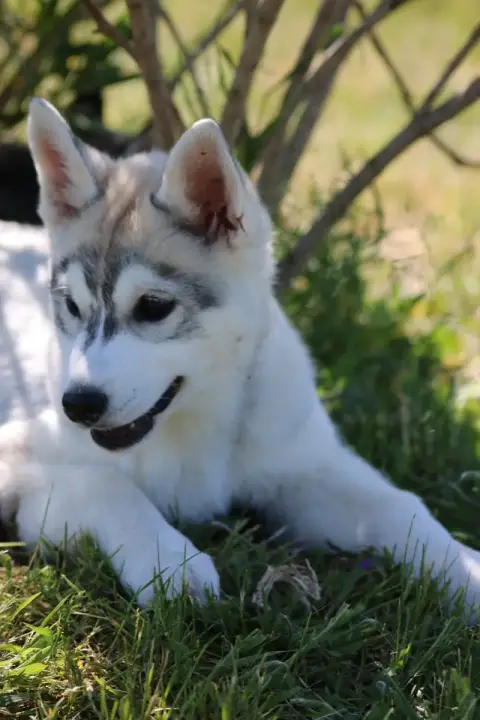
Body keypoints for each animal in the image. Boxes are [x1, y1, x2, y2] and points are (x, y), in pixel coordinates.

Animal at [0, 98, 479, 615]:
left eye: (153, 306)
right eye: (71, 306)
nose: (78, 405)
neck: (194, 427)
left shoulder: (305, 465)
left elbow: (400, 504)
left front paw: (466, 568)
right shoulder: (24, 469)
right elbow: (105, 484)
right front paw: (170, 561)